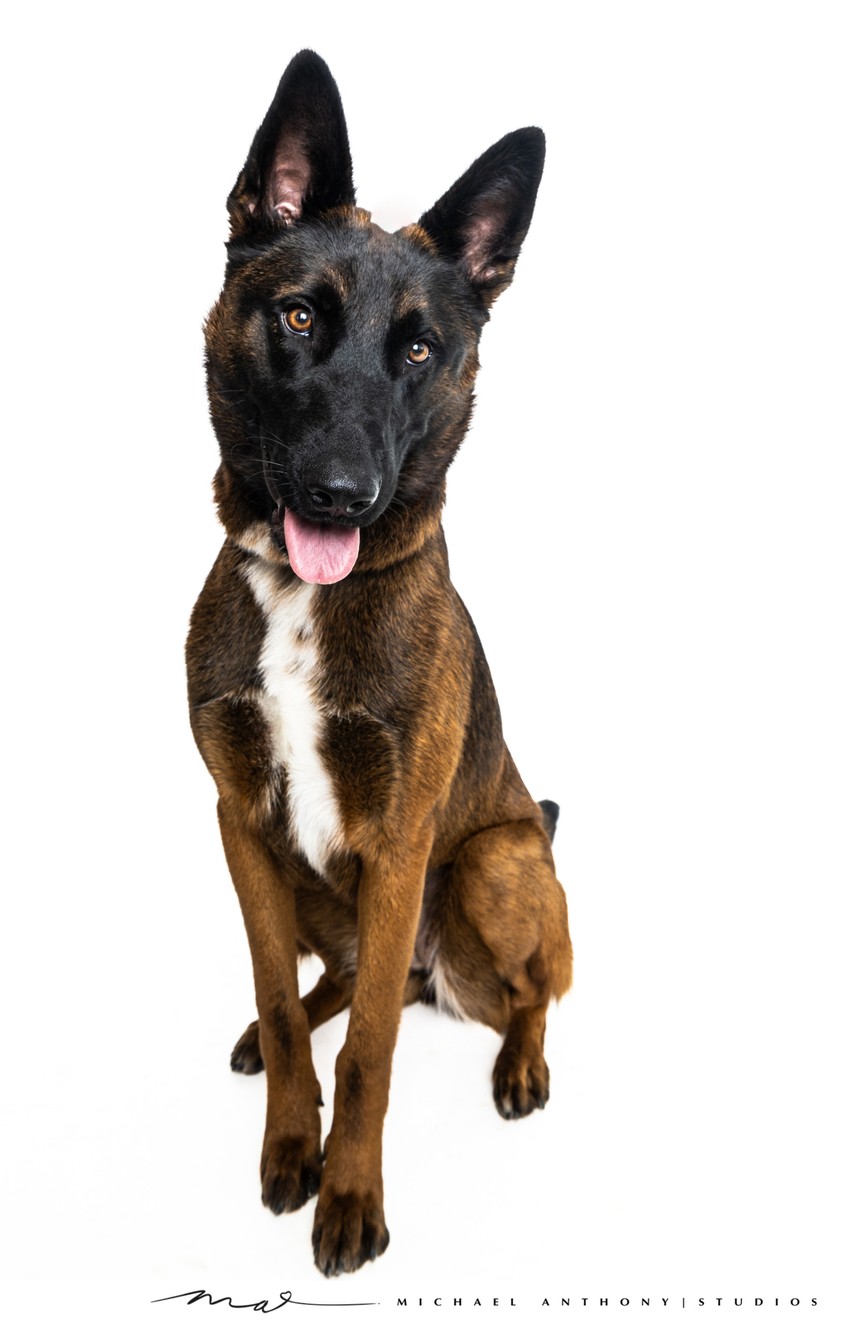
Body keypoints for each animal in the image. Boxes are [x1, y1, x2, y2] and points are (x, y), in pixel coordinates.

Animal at [187, 46, 576, 1274]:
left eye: (417, 350)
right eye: (299, 315)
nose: (341, 495)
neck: (310, 600)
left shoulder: (404, 842)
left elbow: (368, 1057)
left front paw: (348, 1194)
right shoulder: (239, 821)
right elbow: (280, 994)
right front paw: (289, 1142)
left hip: (493, 861)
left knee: (522, 991)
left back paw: (520, 1063)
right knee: (350, 977)